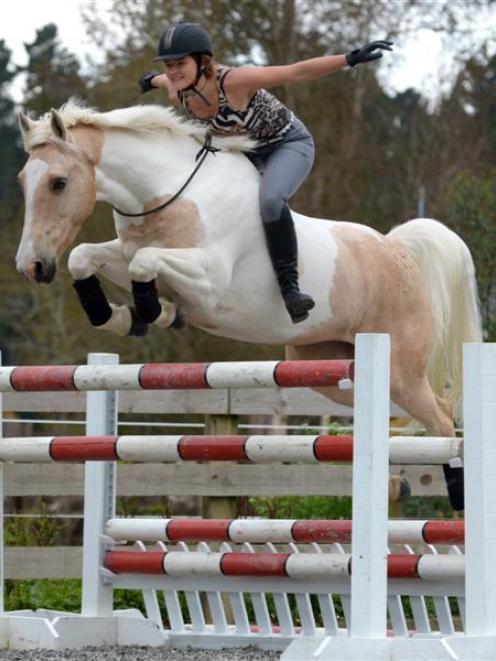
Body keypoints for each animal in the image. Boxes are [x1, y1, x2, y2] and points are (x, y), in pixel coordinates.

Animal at [15, 99, 480, 510]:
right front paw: (127, 316)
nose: (31, 266)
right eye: (22, 180)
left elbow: (144, 261)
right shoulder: (127, 254)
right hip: (332, 369)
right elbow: (86, 256)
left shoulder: (209, 280)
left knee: (441, 418)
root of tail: (398, 250)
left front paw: (153, 311)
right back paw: (393, 484)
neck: (169, 194)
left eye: (58, 182)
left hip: (400, 368)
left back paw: (458, 496)